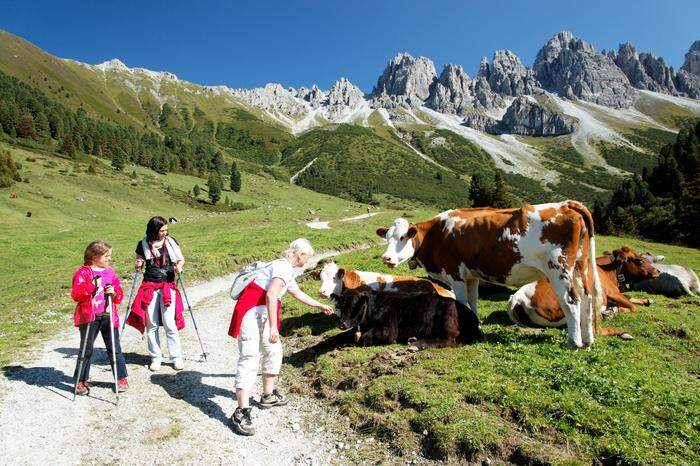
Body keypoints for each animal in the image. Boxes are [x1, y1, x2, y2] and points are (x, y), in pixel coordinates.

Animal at [318, 260, 482, 348]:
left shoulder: (387, 329)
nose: (321, 292)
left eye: (335, 278)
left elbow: (363, 338)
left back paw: (416, 345)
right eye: (320, 278)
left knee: (448, 339)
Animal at [380, 201, 604, 350]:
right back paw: (588, 340)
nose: (386, 258)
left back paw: (574, 342)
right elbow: (473, 301)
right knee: (587, 298)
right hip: (579, 266)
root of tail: (567, 204)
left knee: (571, 301)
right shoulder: (472, 275)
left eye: (403, 237)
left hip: (558, 267)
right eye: (387, 238)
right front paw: (476, 325)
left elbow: (461, 302)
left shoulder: (455, 274)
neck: (436, 234)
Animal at [506, 248, 660, 328]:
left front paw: (647, 300)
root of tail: (517, 296)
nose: (658, 271)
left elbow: (631, 298)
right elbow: (632, 307)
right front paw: (615, 309)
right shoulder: (612, 292)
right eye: (639, 260)